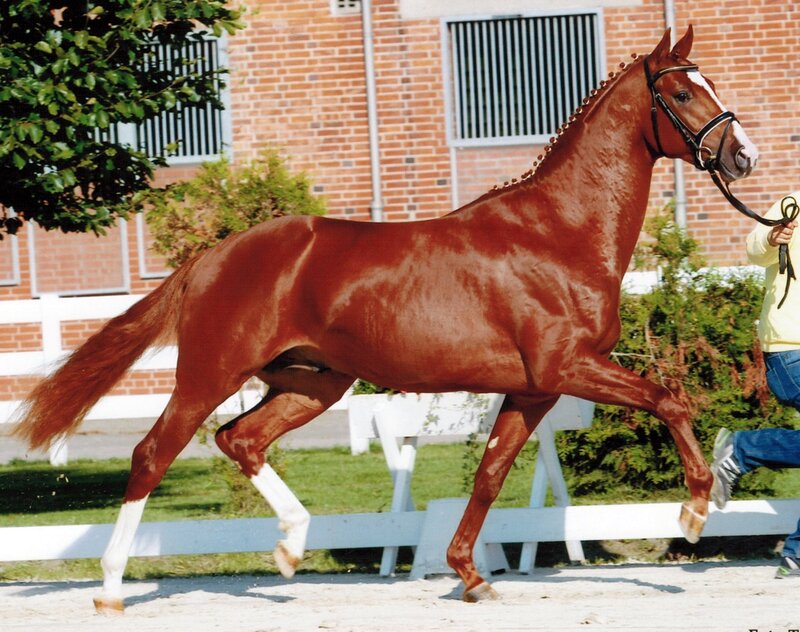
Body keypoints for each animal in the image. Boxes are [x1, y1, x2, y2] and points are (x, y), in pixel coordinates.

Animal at [13, 26, 759, 612]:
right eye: (683, 93)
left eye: (709, 82)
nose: (742, 156)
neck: (559, 234)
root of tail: (212, 257)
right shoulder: (567, 367)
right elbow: (669, 398)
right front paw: (697, 509)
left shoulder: (534, 388)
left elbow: (491, 473)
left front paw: (469, 576)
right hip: (209, 374)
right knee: (153, 453)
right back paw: (112, 588)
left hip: (313, 383)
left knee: (241, 440)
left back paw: (291, 547)